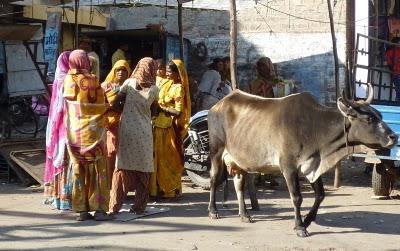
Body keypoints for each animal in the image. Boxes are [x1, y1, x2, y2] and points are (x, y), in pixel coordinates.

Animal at [206, 84, 396, 237]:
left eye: (380, 115)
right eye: (369, 119)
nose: (394, 136)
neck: (315, 128)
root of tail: (218, 105)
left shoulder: (312, 166)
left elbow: (321, 195)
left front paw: (307, 220)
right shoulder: (288, 167)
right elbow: (297, 197)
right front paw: (299, 226)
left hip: (239, 160)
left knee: (239, 184)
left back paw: (244, 214)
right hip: (216, 151)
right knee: (214, 179)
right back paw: (213, 211)